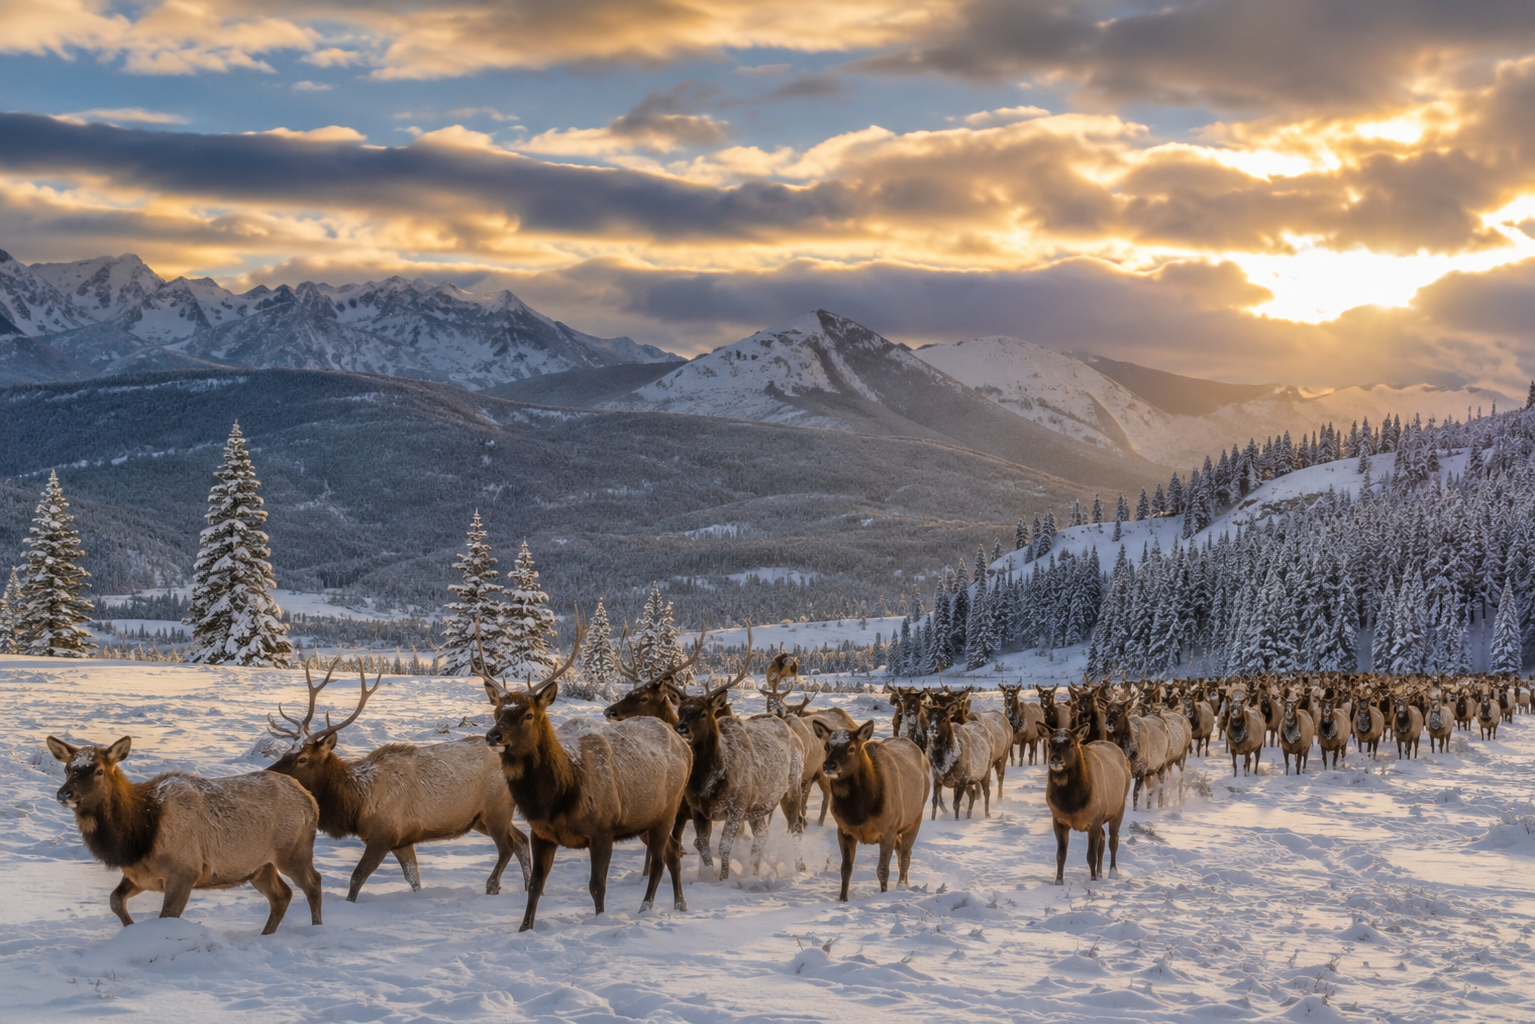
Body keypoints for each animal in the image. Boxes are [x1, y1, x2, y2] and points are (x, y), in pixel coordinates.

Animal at [47, 734, 323, 935]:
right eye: (68, 769)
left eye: (99, 771)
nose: (64, 793)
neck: (139, 836)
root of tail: (310, 799)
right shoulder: (140, 875)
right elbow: (115, 900)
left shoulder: (184, 871)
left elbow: (166, 916)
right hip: (259, 866)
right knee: (282, 895)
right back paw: (266, 934)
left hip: (293, 851)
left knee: (313, 883)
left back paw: (316, 929)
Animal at [265, 659, 530, 902]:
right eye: (287, 751)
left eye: (302, 758)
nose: (269, 773)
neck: (356, 804)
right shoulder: (402, 841)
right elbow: (413, 879)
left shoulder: (384, 834)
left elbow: (357, 877)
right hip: (480, 818)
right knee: (521, 840)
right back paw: (528, 888)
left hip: (496, 809)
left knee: (507, 846)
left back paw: (493, 887)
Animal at [482, 615, 693, 932]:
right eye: (497, 712)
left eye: (528, 714)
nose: (493, 736)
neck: (557, 796)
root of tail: (685, 745)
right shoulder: (541, 832)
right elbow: (535, 886)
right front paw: (524, 929)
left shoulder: (603, 829)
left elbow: (597, 886)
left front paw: (600, 921)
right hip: (647, 818)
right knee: (673, 851)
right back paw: (680, 905)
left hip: (667, 810)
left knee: (659, 861)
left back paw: (645, 909)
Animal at [812, 719, 930, 901]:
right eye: (826, 746)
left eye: (851, 748)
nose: (829, 765)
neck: (858, 813)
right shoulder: (844, 830)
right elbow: (845, 869)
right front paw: (842, 899)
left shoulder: (888, 829)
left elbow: (882, 870)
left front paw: (884, 894)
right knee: (902, 850)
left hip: (915, 818)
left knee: (905, 855)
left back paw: (902, 885)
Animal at [1044, 724, 1130, 885]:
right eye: (1049, 744)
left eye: (1071, 744)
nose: (1055, 759)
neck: (1071, 804)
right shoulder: (1058, 820)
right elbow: (1061, 855)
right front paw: (1058, 881)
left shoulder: (1095, 820)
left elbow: (1091, 855)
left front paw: (1093, 880)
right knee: (1103, 839)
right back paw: (1100, 873)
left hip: (1119, 809)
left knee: (1113, 840)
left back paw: (1112, 873)